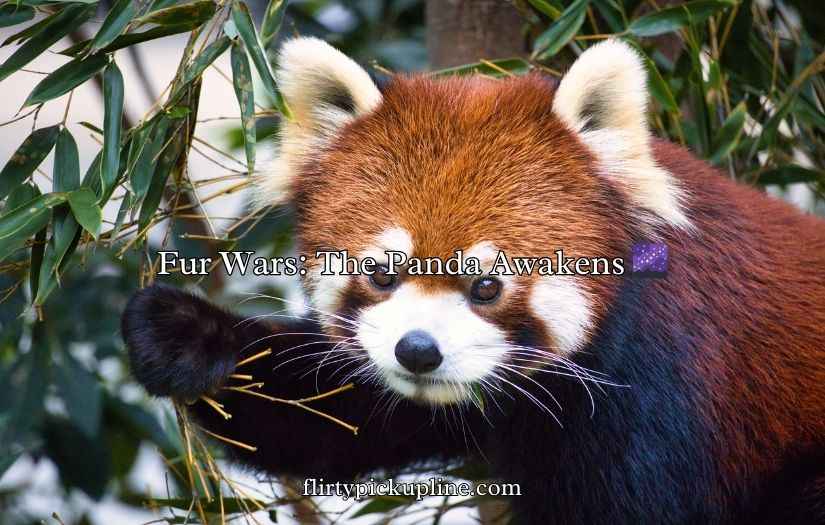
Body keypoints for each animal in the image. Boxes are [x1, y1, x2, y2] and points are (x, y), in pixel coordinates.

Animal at [122, 37, 825, 524]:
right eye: (383, 273)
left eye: (487, 284)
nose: (418, 351)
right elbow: (335, 413)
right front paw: (186, 336)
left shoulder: (661, 398)